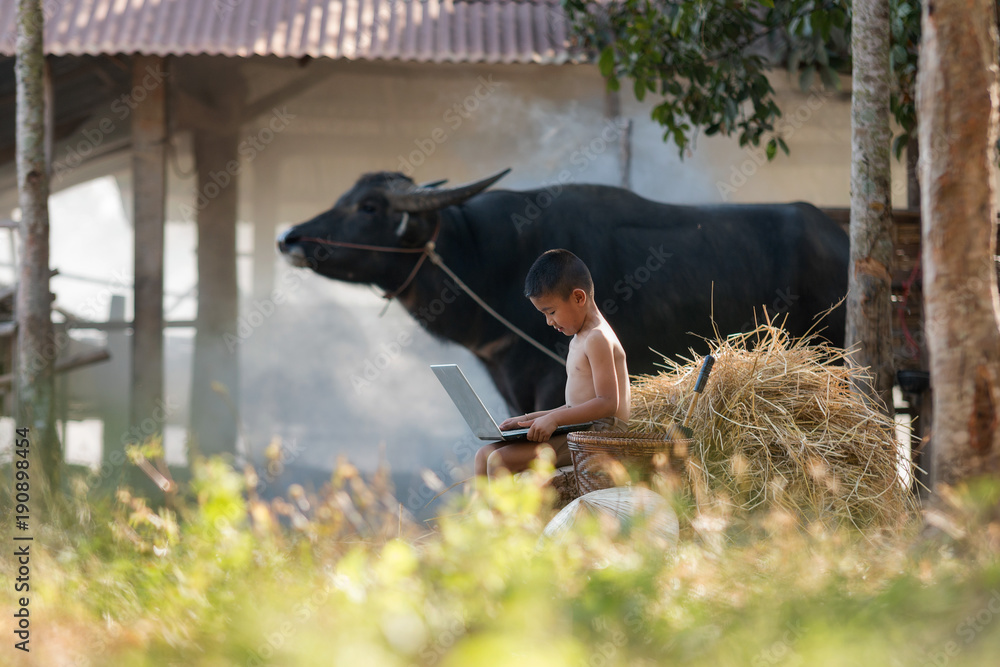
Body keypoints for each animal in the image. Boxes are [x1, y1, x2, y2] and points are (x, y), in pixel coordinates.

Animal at [278, 170, 848, 414]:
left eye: (370, 206)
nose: (290, 237)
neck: (487, 258)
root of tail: (840, 238)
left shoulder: (554, 382)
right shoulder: (511, 388)